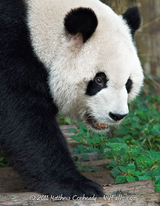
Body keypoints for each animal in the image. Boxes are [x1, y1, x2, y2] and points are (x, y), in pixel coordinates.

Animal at [0, 0, 144, 197]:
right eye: (99, 80)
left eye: (128, 83)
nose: (117, 115)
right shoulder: (11, 53)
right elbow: (23, 120)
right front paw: (78, 185)